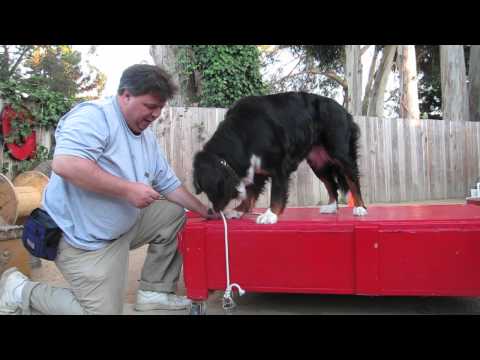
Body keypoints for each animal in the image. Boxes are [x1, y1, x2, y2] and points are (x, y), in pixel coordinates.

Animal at [191, 91, 368, 224]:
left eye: (212, 190)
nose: (211, 212)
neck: (243, 134)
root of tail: (343, 110)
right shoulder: (256, 168)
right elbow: (250, 193)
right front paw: (238, 211)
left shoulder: (279, 165)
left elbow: (276, 193)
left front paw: (270, 215)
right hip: (317, 162)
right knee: (331, 184)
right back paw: (331, 207)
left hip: (341, 152)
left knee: (353, 179)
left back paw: (360, 207)